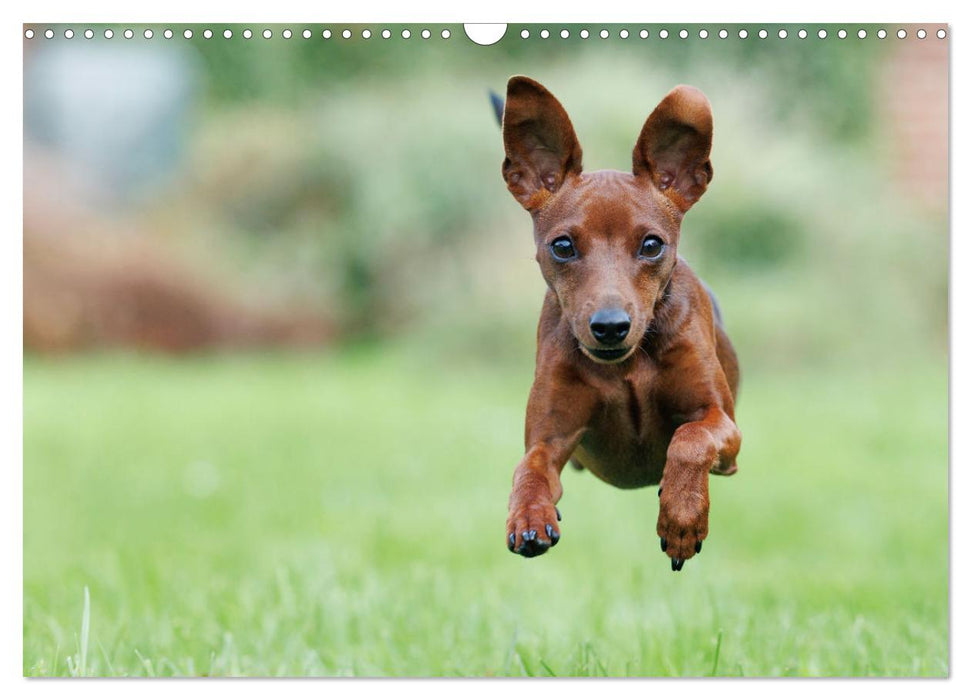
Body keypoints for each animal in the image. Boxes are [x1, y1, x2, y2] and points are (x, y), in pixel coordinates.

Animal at [498, 78, 740, 568]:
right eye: (563, 246)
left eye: (651, 244)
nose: (610, 326)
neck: (626, 367)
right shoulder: (550, 439)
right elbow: (528, 468)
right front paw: (529, 516)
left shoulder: (724, 426)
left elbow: (690, 438)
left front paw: (682, 517)